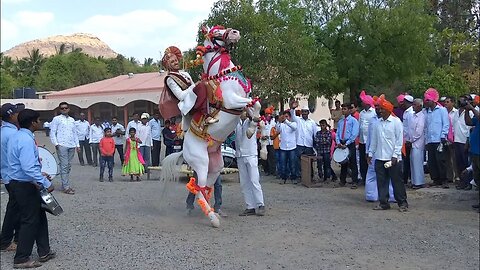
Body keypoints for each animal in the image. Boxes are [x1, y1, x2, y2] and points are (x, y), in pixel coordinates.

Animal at [159, 25, 260, 228]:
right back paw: (213, 218)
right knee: (197, 187)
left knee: (205, 186)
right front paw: (252, 126)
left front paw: (252, 127)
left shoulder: (244, 99)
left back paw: (210, 211)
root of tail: (184, 150)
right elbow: (252, 104)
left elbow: (256, 105)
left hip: (215, 165)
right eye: (215, 32)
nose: (235, 33)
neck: (225, 74)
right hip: (201, 163)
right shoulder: (232, 101)